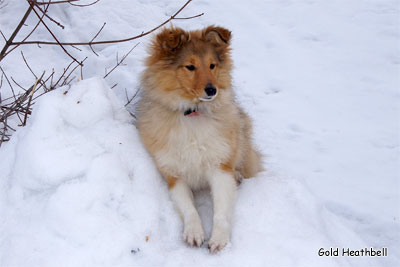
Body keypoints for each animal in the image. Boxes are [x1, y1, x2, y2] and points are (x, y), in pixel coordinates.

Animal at [137, 26, 262, 254]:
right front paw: (194, 233)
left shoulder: (220, 166)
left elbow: (221, 210)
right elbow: (188, 208)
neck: (192, 112)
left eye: (212, 65)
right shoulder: (173, 174)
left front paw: (219, 239)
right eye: (190, 66)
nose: (212, 90)